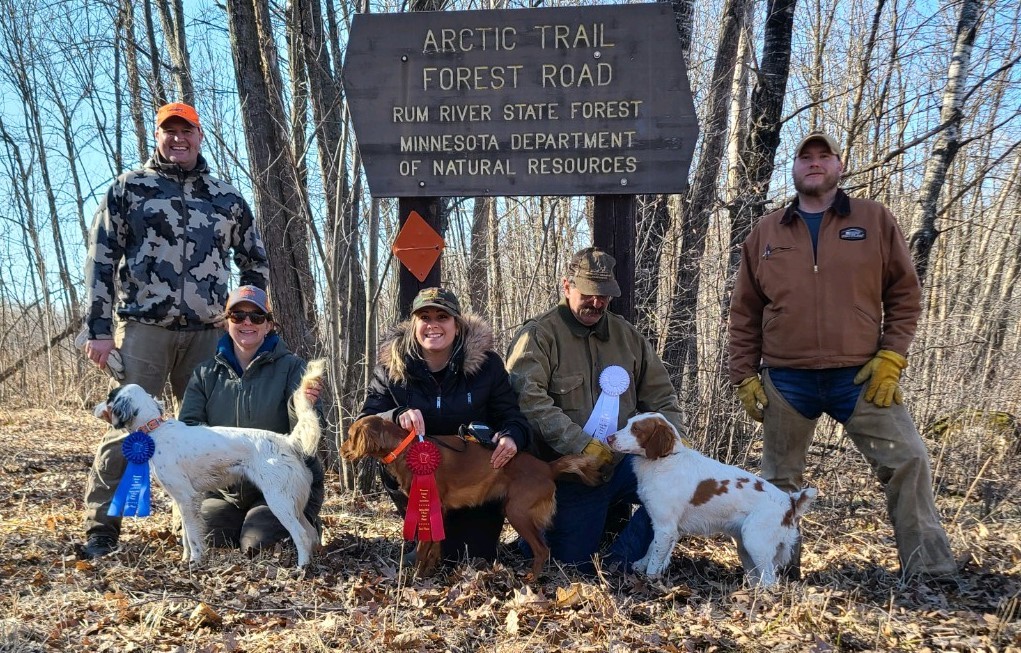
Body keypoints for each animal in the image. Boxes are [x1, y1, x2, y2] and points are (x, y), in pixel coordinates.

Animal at [91, 357, 324, 567]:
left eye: (109, 397)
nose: (95, 407)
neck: (154, 430)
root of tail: (287, 441)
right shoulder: (182, 499)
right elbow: (187, 535)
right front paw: (186, 559)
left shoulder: (187, 497)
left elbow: (193, 537)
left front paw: (194, 562)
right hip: (292, 504)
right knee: (311, 532)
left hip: (279, 501)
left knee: (302, 535)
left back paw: (301, 569)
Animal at [343, 416, 600, 579]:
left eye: (350, 436)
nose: (342, 450)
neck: (405, 447)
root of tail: (547, 467)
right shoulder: (439, 510)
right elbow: (435, 546)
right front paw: (429, 573)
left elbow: (425, 547)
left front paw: (415, 577)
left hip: (517, 512)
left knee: (542, 550)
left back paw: (529, 581)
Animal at [608, 412, 816, 587]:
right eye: (628, 423)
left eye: (636, 429)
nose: (609, 438)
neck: (664, 460)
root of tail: (789, 501)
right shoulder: (665, 527)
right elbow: (652, 548)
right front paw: (641, 565)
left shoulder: (665, 527)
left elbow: (655, 556)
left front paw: (650, 579)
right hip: (745, 546)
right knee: (757, 579)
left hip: (755, 541)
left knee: (769, 581)